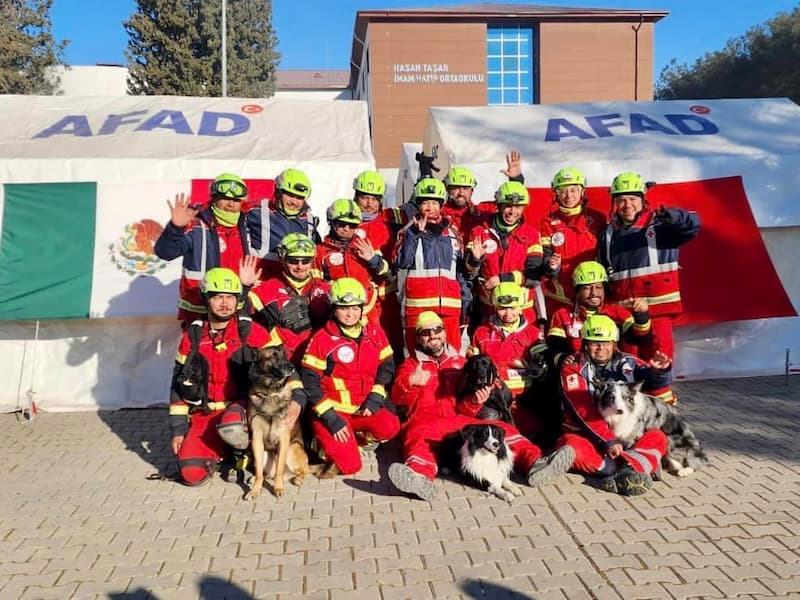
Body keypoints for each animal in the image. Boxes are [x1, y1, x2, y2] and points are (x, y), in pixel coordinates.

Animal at [244, 344, 310, 500]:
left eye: (285, 354)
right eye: (273, 356)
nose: (292, 367)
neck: (270, 393)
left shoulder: (283, 438)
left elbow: (279, 469)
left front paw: (278, 489)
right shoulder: (256, 438)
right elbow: (259, 473)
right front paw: (255, 490)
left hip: (292, 449)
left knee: (304, 470)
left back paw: (297, 478)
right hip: (264, 452)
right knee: (265, 473)